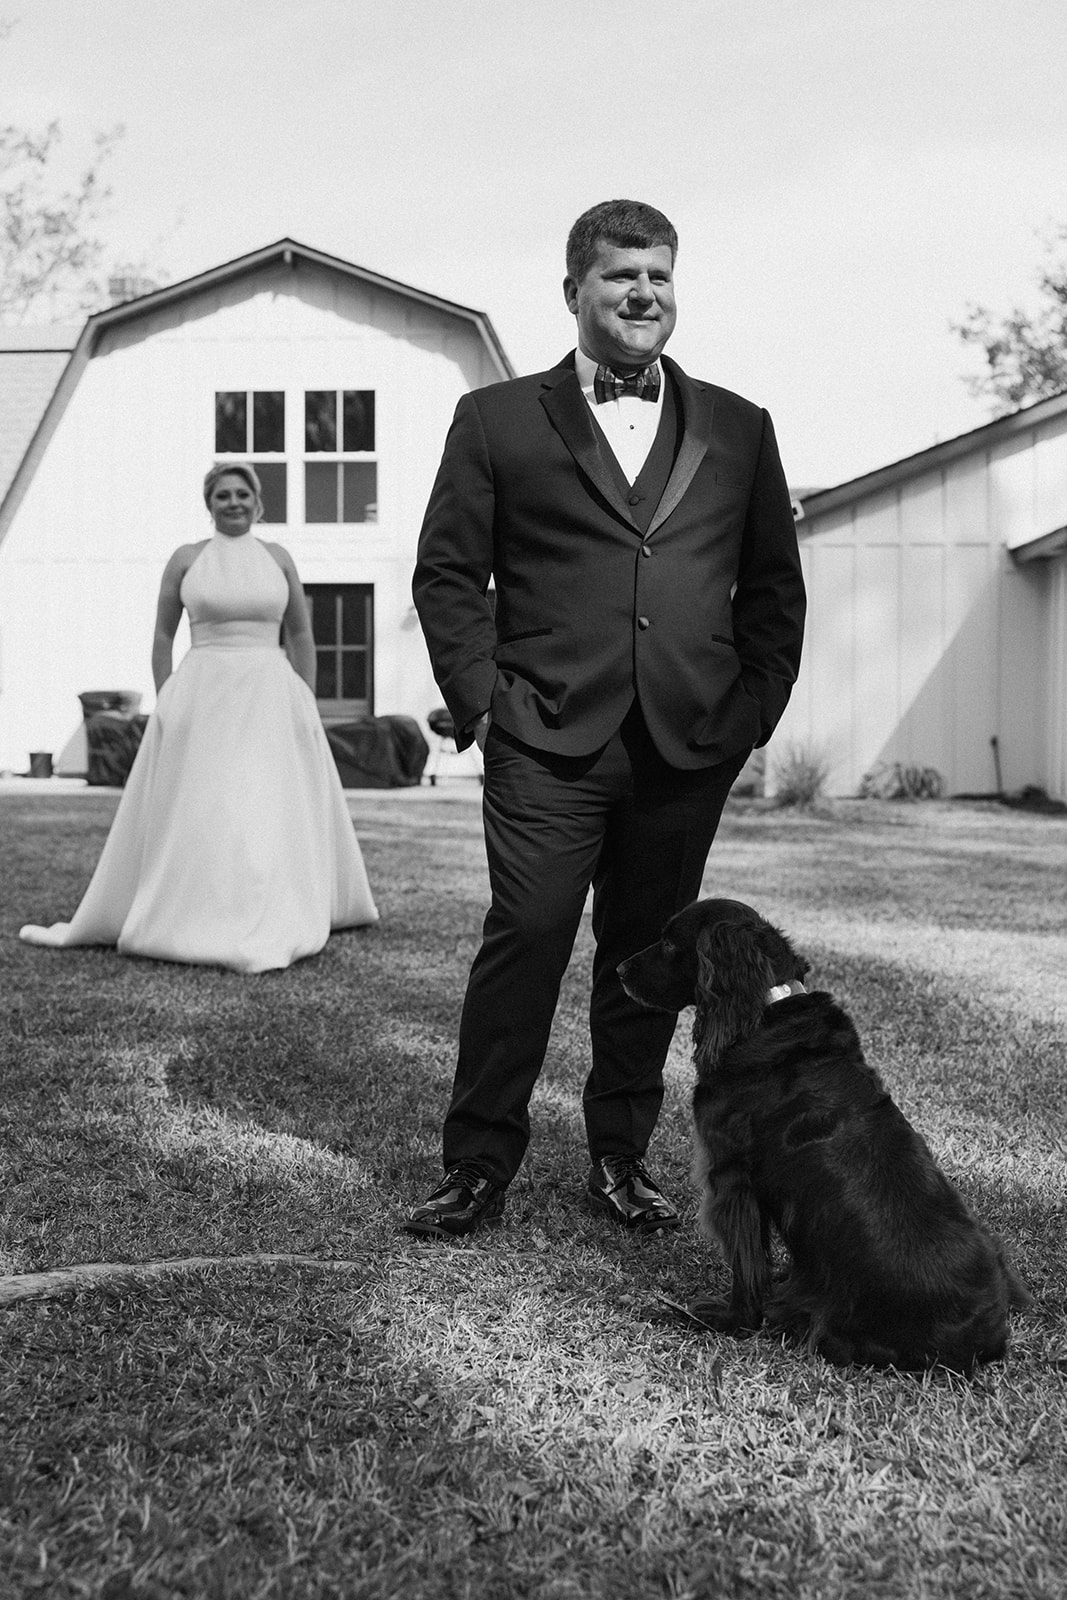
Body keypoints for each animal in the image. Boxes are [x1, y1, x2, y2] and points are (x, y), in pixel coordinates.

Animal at [620, 902, 1030, 1376]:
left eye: (670, 943)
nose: (619, 969)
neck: (764, 1007)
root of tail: (990, 1337)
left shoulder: (731, 1179)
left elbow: (746, 1265)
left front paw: (726, 1318)